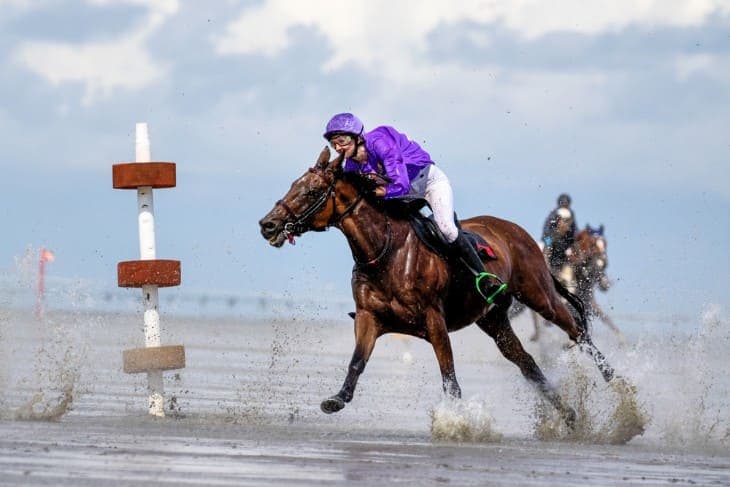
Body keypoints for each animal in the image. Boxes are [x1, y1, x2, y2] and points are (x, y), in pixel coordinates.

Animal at [258, 147, 617, 427]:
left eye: (310, 191)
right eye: (293, 185)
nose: (268, 225)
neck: (385, 251)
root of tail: (518, 231)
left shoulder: (434, 321)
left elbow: (449, 377)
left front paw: (456, 422)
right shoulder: (369, 317)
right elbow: (357, 361)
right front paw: (336, 399)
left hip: (538, 294)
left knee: (577, 332)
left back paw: (617, 384)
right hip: (493, 319)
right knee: (527, 363)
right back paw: (569, 415)